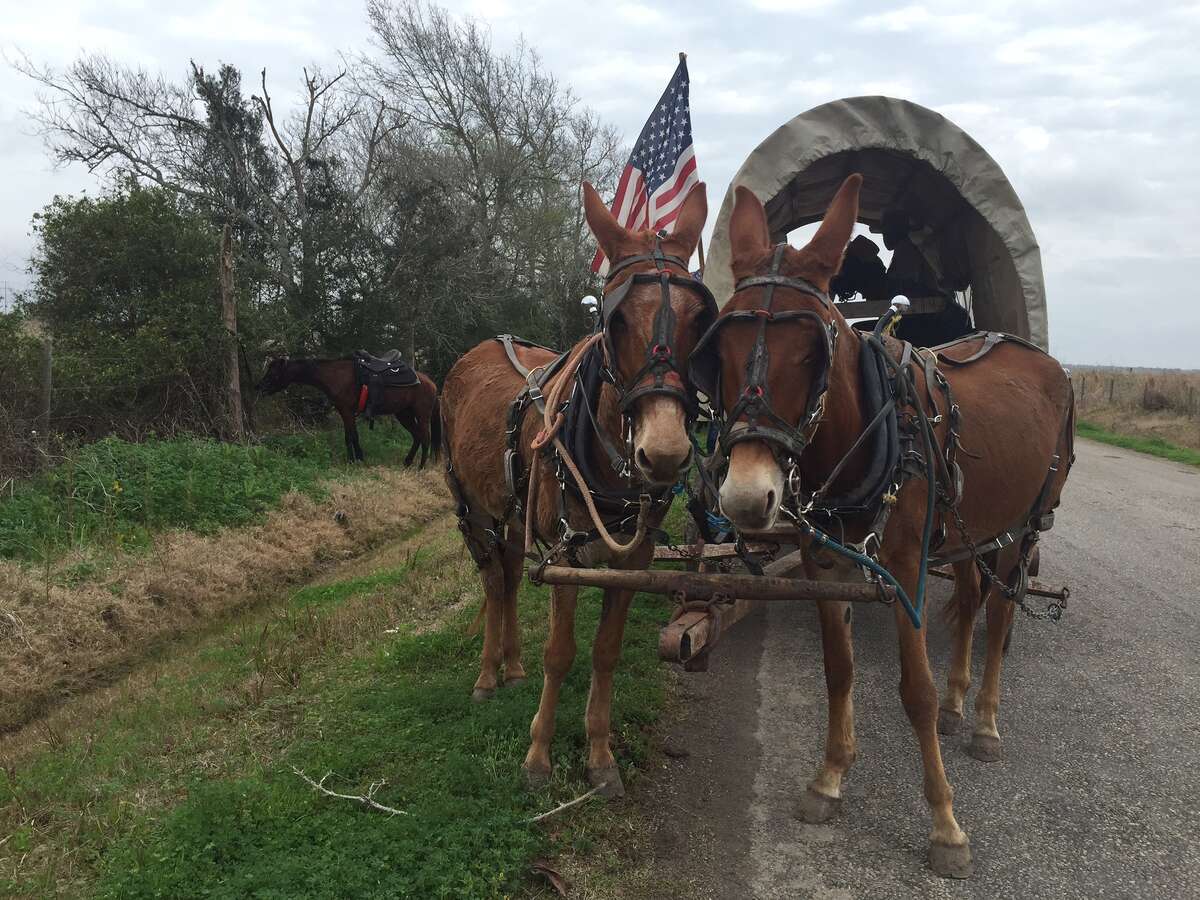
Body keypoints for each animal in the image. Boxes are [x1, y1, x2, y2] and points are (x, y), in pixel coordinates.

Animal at [258, 355, 441, 465]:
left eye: (273, 373)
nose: (259, 387)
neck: (335, 376)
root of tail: (430, 382)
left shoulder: (346, 411)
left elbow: (352, 436)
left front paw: (355, 459)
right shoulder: (344, 412)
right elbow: (350, 436)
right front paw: (356, 458)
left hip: (422, 414)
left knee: (425, 437)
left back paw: (421, 467)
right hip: (404, 414)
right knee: (417, 436)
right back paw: (407, 462)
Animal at [444, 181, 710, 796]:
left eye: (698, 321)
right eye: (615, 320)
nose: (664, 453)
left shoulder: (633, 558)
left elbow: (605, 652)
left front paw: (599, 754)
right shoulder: (566, 554)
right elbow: (561, 654)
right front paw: (539, 756)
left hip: (511, 512)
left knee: (508, 577)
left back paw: (513, 666)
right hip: (473, 510)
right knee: (492, 581)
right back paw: (489, 674)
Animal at [700, 174, 1075, 873]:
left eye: (814, 348)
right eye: (723, 347)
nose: (745, 496)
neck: (871, 425)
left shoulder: (902, 569)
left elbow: (914, 690)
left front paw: (946, 826)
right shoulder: (825, 562)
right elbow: (838, 669)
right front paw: (829, 779)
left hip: (1023, 527)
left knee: (1000, 611)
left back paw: (984, 722)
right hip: (964, 530)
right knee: (973, 597)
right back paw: (959, 703)